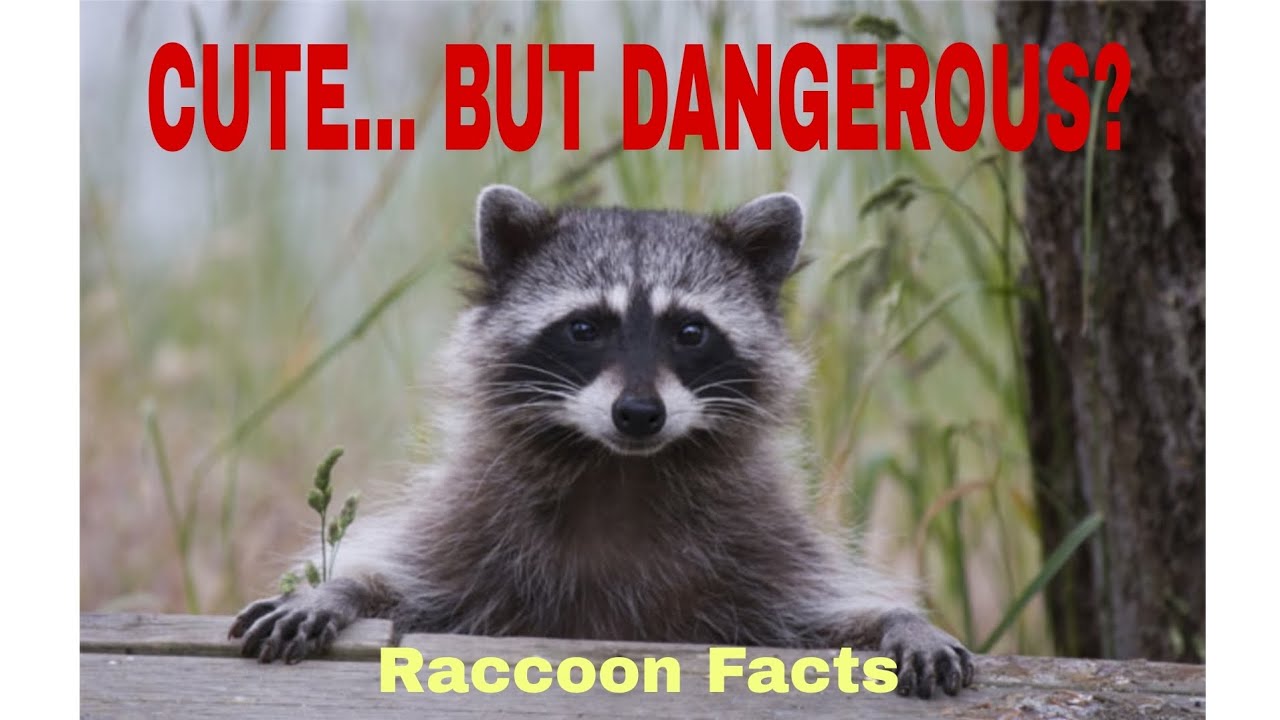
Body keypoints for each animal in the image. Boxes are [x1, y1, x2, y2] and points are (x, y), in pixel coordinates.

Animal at [230, 186, 975, 698]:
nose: (639, 414)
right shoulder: (474, 522)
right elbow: (407, 579)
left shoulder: (758, 544)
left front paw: (898, 619)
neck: (619, 469)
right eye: (585, 328)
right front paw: (338, 589)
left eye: (690, 331)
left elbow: (816, 614)